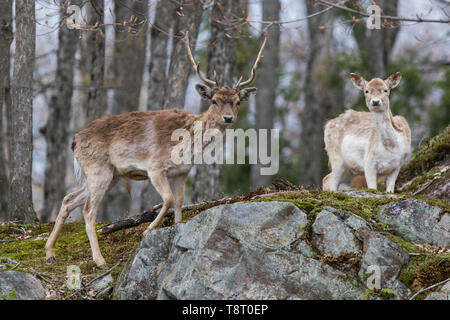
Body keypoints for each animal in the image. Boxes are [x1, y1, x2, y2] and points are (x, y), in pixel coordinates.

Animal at [44, 33, 268, 268]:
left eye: (237, 101)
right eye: (214, 100)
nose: (228, 118)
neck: (188, 143)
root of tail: (74, 140)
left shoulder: (182, 172)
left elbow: (179, 203)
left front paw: (177, 230)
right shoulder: (155, 167)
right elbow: (167, 199)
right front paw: (148, 230)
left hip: (110, 175)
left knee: (68, 199)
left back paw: (50, 252)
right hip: (98, 170)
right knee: (88, 211)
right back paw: (100, 260)